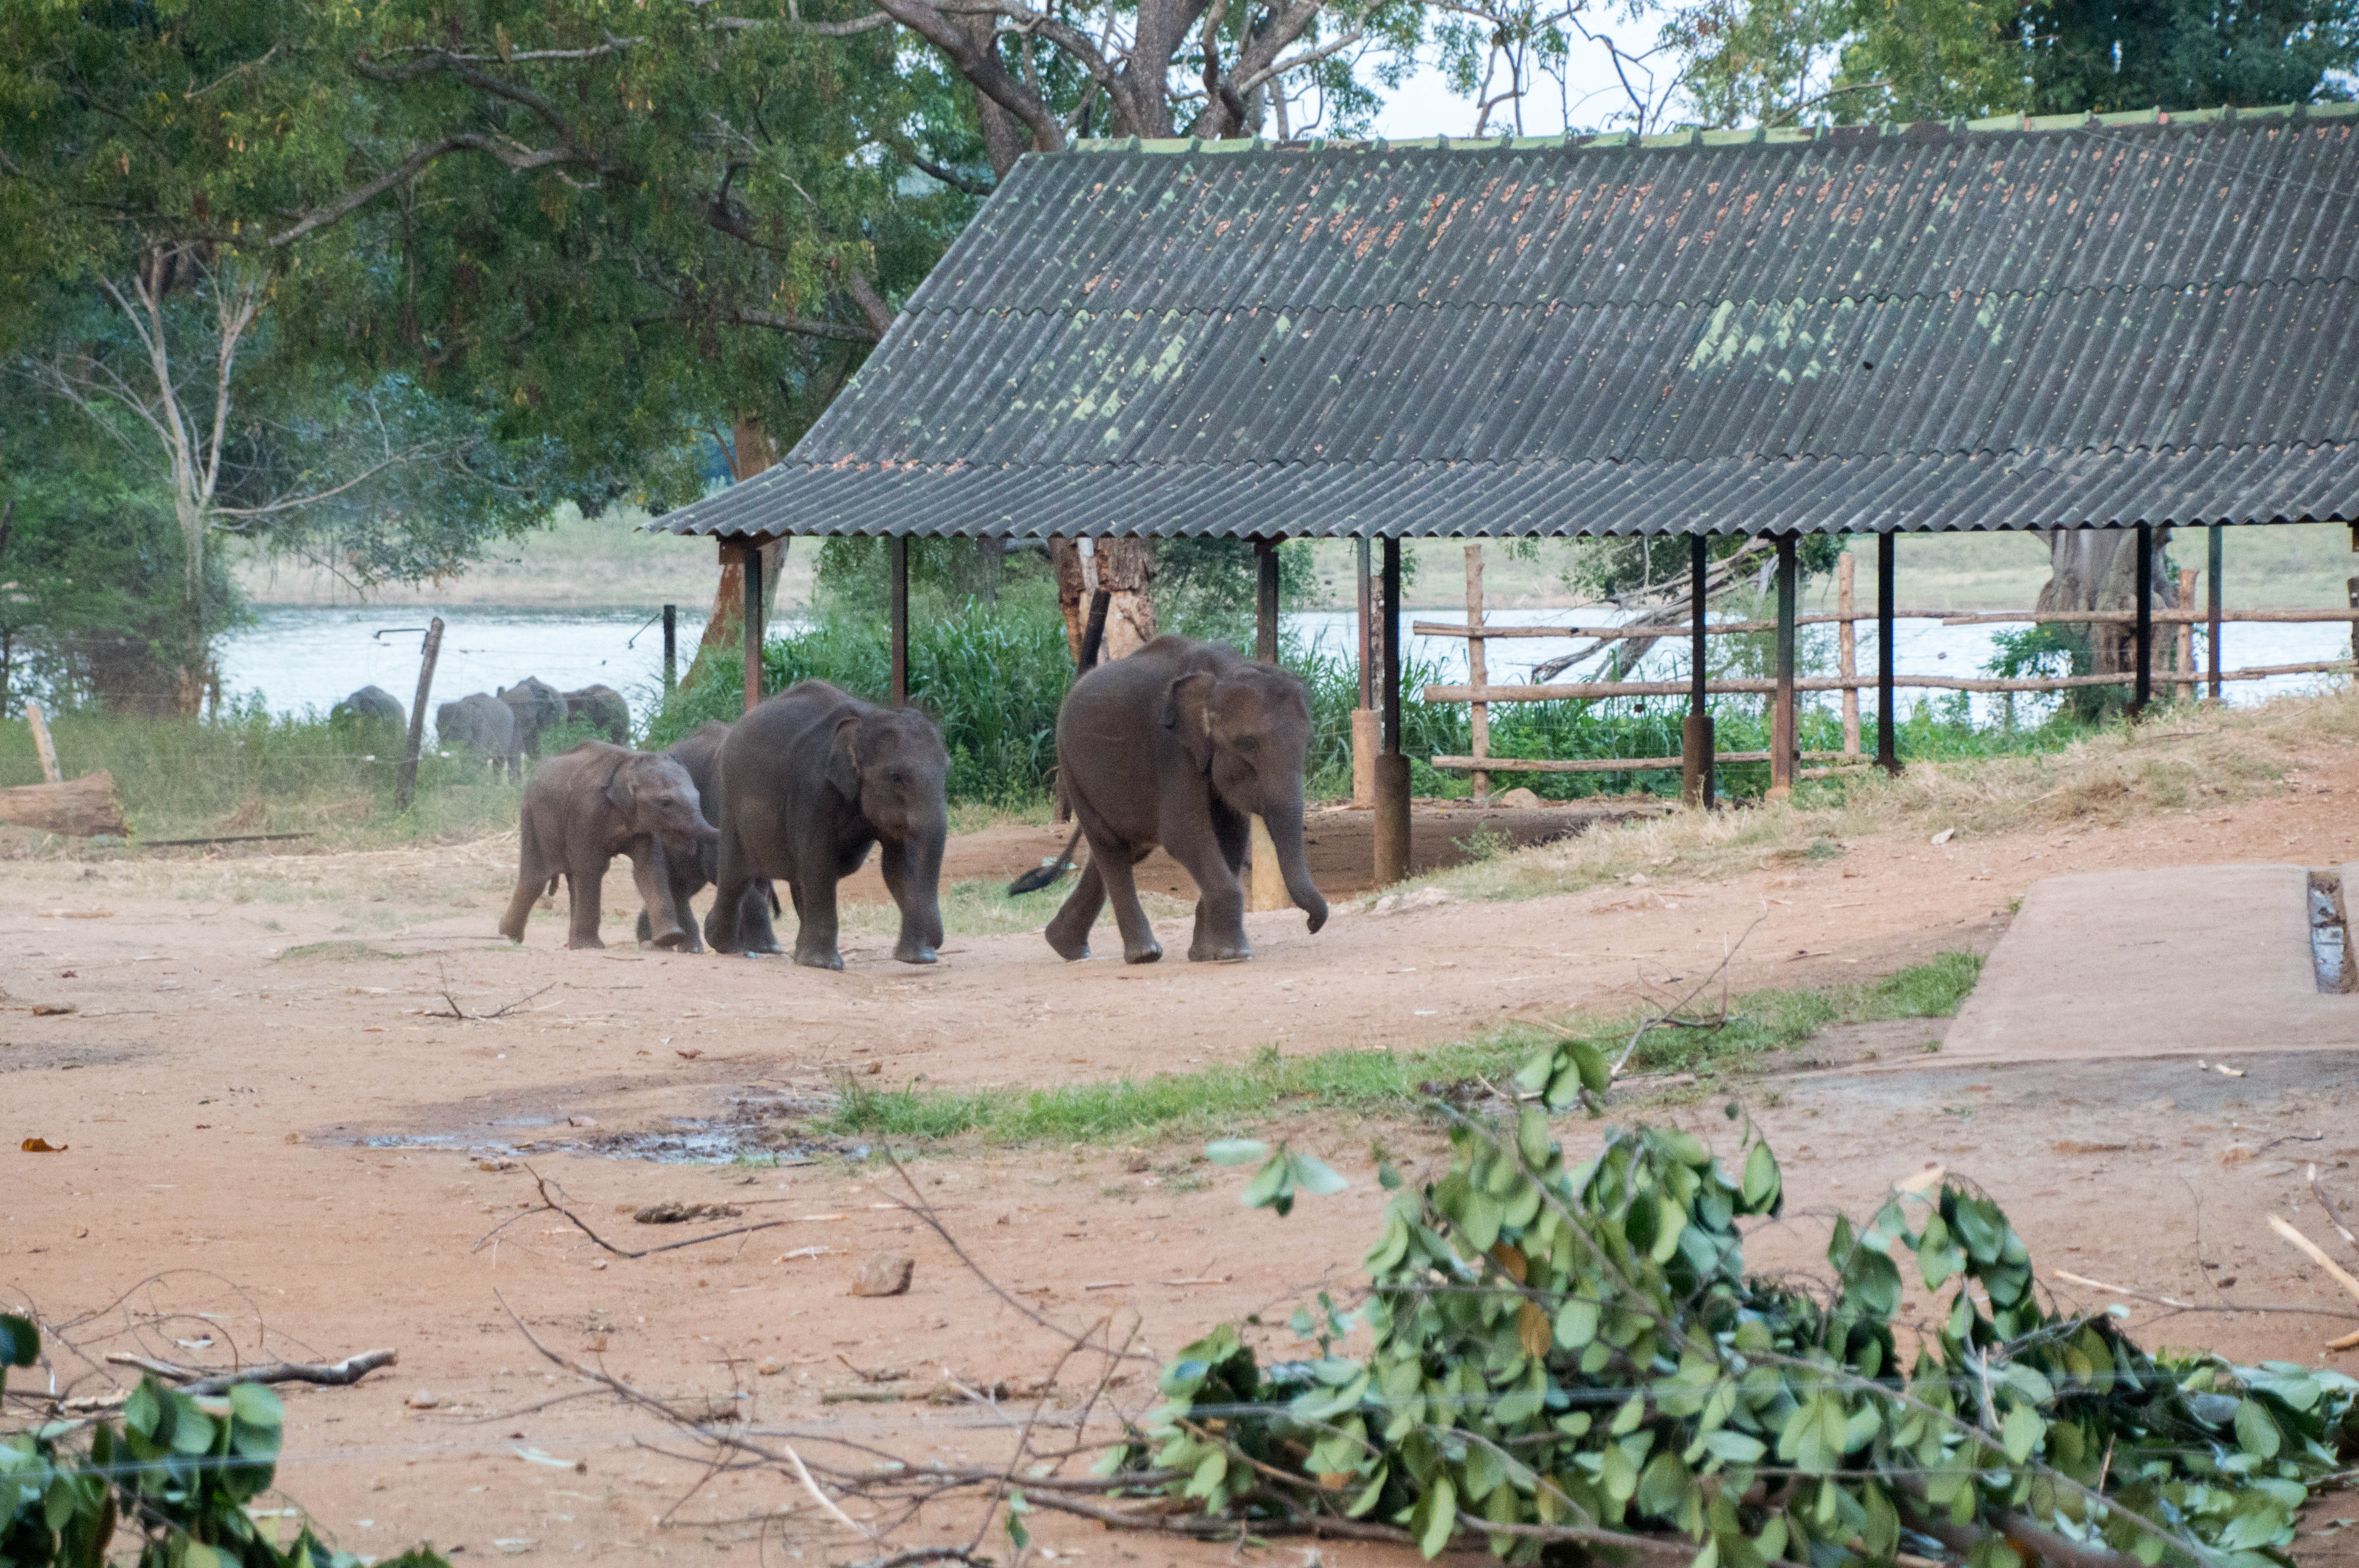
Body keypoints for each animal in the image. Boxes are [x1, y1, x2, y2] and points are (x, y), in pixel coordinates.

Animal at [499, 741, 719, 949]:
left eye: (699, 797)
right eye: (665, 802)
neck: (629, 762)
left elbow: (648, 869)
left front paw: (670, 938)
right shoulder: (587, 810)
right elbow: (591, 868)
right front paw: (590, 947)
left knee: (571, 879)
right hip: (533, 817)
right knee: (535, 879)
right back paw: (508, 937)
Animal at [704, 681, 948, 970]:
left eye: (947, 770)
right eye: (896, 777)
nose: (937, 944)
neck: (868, 718)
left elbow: (898, 866)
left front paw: (919, 960)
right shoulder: (814, 787)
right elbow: (818, 859)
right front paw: (825, 965)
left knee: (793, 878)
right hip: (729, 800)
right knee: (735, 875)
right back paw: (725, 946)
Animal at [1045, 635, 1327, 964]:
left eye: (1309, 744)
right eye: (1247, 744)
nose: (1311, 925)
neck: (1224, 672)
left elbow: (1232, 836)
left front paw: (1206, 955)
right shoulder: (1171, 750)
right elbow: (1184, 833)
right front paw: (1232, 954)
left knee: (1127, 848)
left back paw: (1064, 945)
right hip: (1071, 769)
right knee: (1109, 847)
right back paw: (1144, 955)